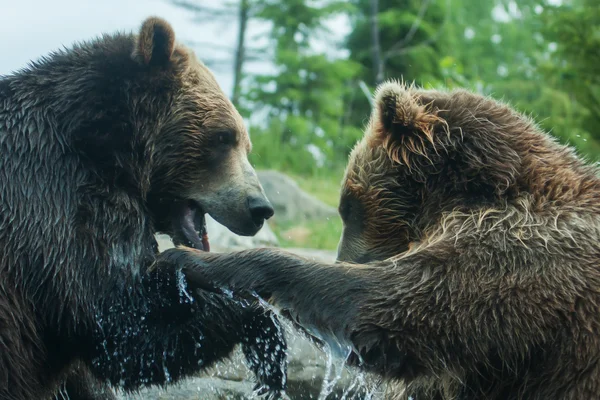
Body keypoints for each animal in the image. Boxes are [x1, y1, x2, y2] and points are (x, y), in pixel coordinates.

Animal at [0, 15, 288, 400]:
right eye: (223, 136)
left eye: (247, 143)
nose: (259, 208)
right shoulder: (56, 201)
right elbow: (119, 322)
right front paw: (259, 324)